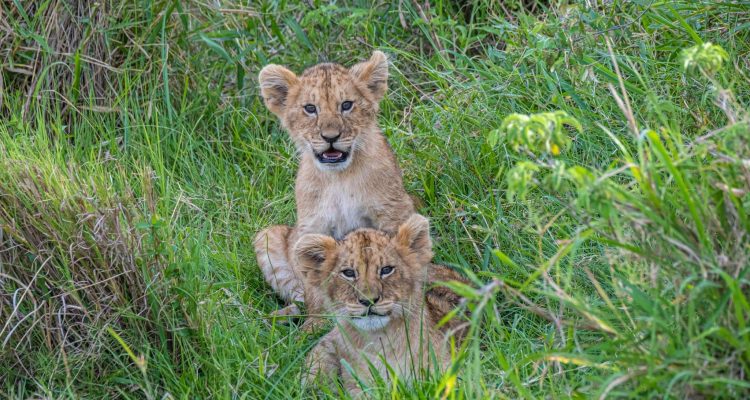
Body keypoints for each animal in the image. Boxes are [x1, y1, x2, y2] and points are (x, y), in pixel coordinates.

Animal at [253, 51, 416, 324]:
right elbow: (315, 283)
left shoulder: (394, 212)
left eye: (346, 105)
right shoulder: (311, 228)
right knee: (300, 298)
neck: (338, 178)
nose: (330, 137)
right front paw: (316, 325)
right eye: (310, 109)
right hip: (267, 236)